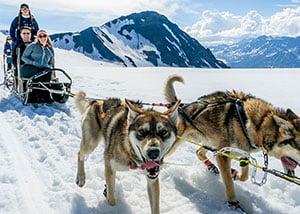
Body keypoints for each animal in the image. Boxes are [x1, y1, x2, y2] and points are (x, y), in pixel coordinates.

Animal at [164, 75, 300, 209]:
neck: (259, 125)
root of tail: (180, 107)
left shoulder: (243, 153)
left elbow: (244, 175)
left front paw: (236, 174)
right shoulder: (223, 154)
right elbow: (229, 183)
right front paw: (234, 203)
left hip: (209, 141)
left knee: (199, 152)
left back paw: (213, 167)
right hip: (177, 143)